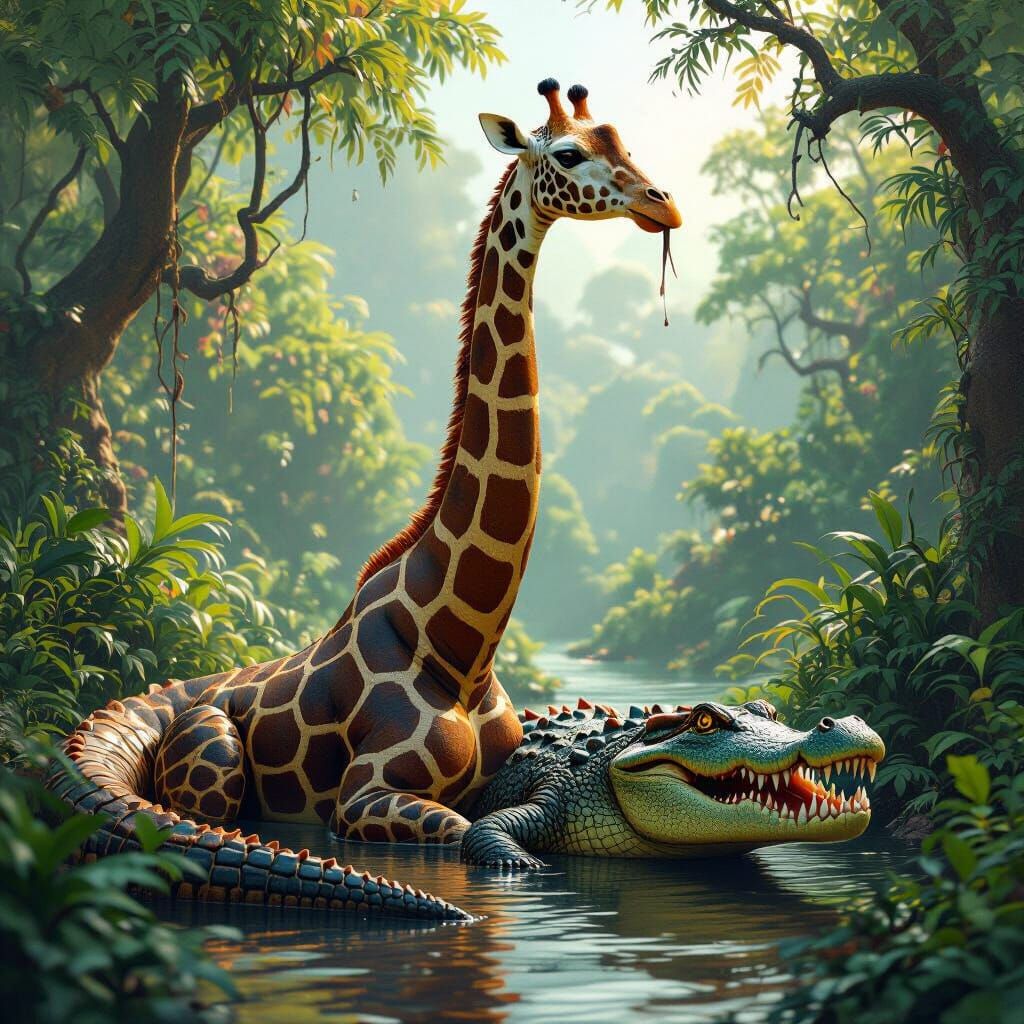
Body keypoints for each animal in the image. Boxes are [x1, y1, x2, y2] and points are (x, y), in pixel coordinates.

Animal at [56, 80, 682, 875]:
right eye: (569, 153)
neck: (462, 648)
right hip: (212, 762)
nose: (663, 204)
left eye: (622, 140)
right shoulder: (361, 800)